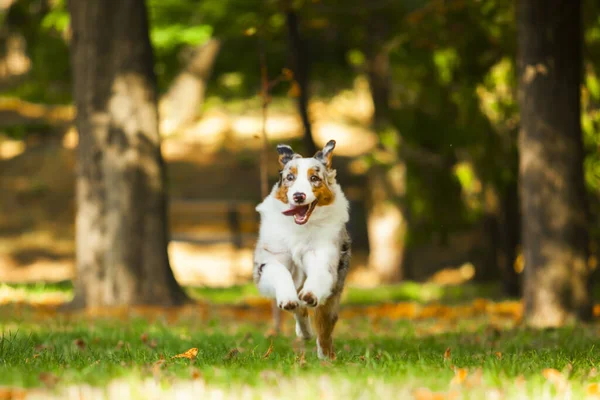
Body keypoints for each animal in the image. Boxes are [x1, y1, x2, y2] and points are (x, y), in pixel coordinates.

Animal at [252, 140, 352, 360]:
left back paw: (326, 357)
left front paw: (310, 294)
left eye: (314, 178)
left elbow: (318, 277)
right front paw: (288, 298)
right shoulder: (269, 261)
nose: (299, 196)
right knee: (300, 312)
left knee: (324, 326)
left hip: (334, 293)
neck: (300, 227)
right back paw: (303, 330)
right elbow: (280, 272)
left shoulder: (323, 257)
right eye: (290, 177)